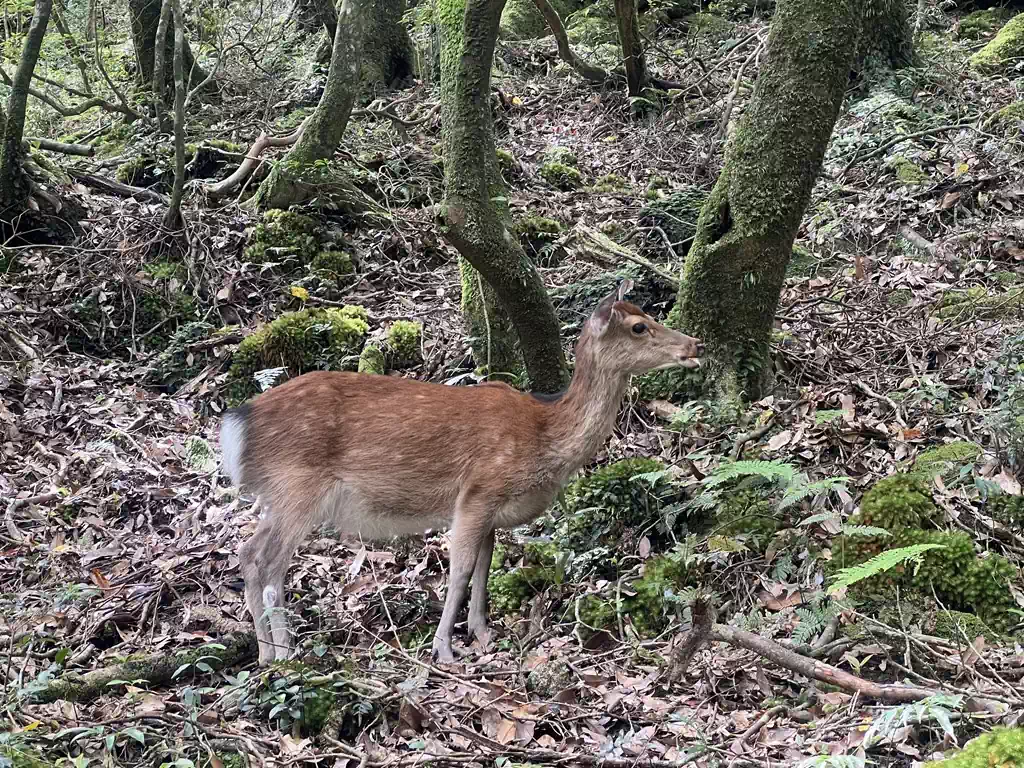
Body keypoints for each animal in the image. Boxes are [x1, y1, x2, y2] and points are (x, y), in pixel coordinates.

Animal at [221, 280, 704, 663]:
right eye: (639, 326)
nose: (694, 346)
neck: (545, 437)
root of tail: (236, 426)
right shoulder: (478, 490)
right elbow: (460, 571)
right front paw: (444, 649)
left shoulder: (491, 510)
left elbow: (485, 567)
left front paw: (481, 632)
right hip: (297, 486)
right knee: (266, 562)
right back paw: (283, 653)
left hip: (281, 494)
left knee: (249, 553)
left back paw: (266, 653)